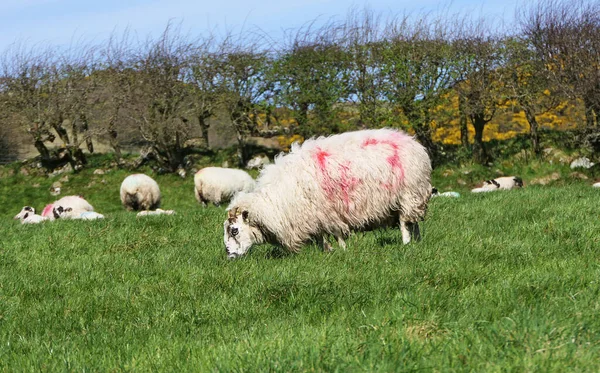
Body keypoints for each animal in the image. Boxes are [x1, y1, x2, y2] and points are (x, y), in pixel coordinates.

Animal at [224, 126, 432, 258]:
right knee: (414, 223)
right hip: (411, 199)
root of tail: (412, 142)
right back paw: (418, 242)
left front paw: (340, 250)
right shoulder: (312, 216)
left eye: (234, 230)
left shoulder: (326, 212)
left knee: (405, 223)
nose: (229, 256)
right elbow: (319, 236)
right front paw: (324, 251)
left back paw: (406, 243)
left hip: (409, 195)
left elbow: (334, 233)